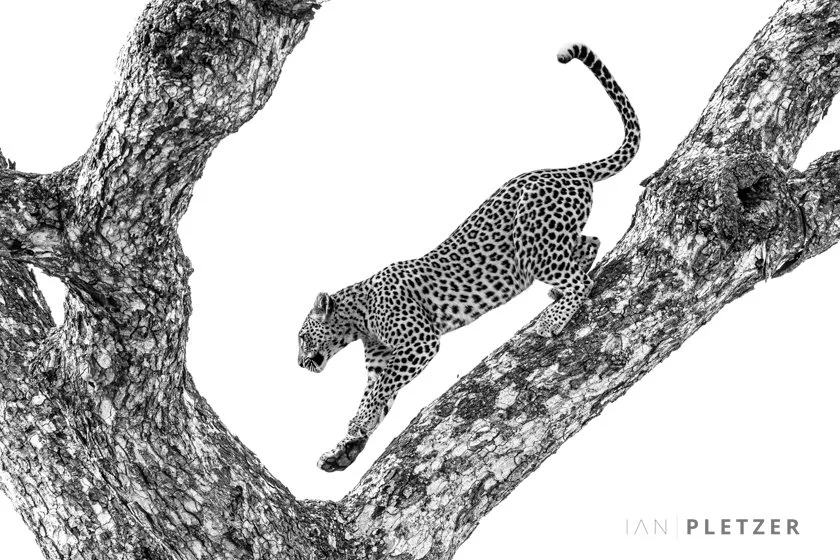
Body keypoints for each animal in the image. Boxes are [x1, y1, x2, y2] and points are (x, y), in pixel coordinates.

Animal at [298, 43, 640, 471]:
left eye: (301, 337)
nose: (299, 364)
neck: (356, 319)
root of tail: (568, 171)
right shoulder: (380, 360)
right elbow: (377, 396)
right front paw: (348, 442)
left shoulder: (419, 342)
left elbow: (381, 390)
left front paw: (356, 426)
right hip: (551, 241)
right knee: (590, 241)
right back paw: (559, 293)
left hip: (534, 248)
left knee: (580, 278)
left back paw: (554, 318)